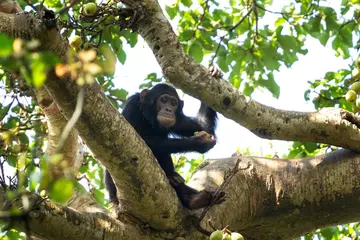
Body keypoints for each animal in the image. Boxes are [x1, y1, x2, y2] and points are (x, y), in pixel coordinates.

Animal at [104, 74, 226, 209]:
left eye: (173, 103)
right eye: (163, 100)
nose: (168, 109)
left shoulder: (178, 118)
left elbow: (202, 127)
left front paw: (213, 73)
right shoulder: (132, 107)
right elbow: (130, 141)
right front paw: (199, 142)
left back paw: (193, 196)